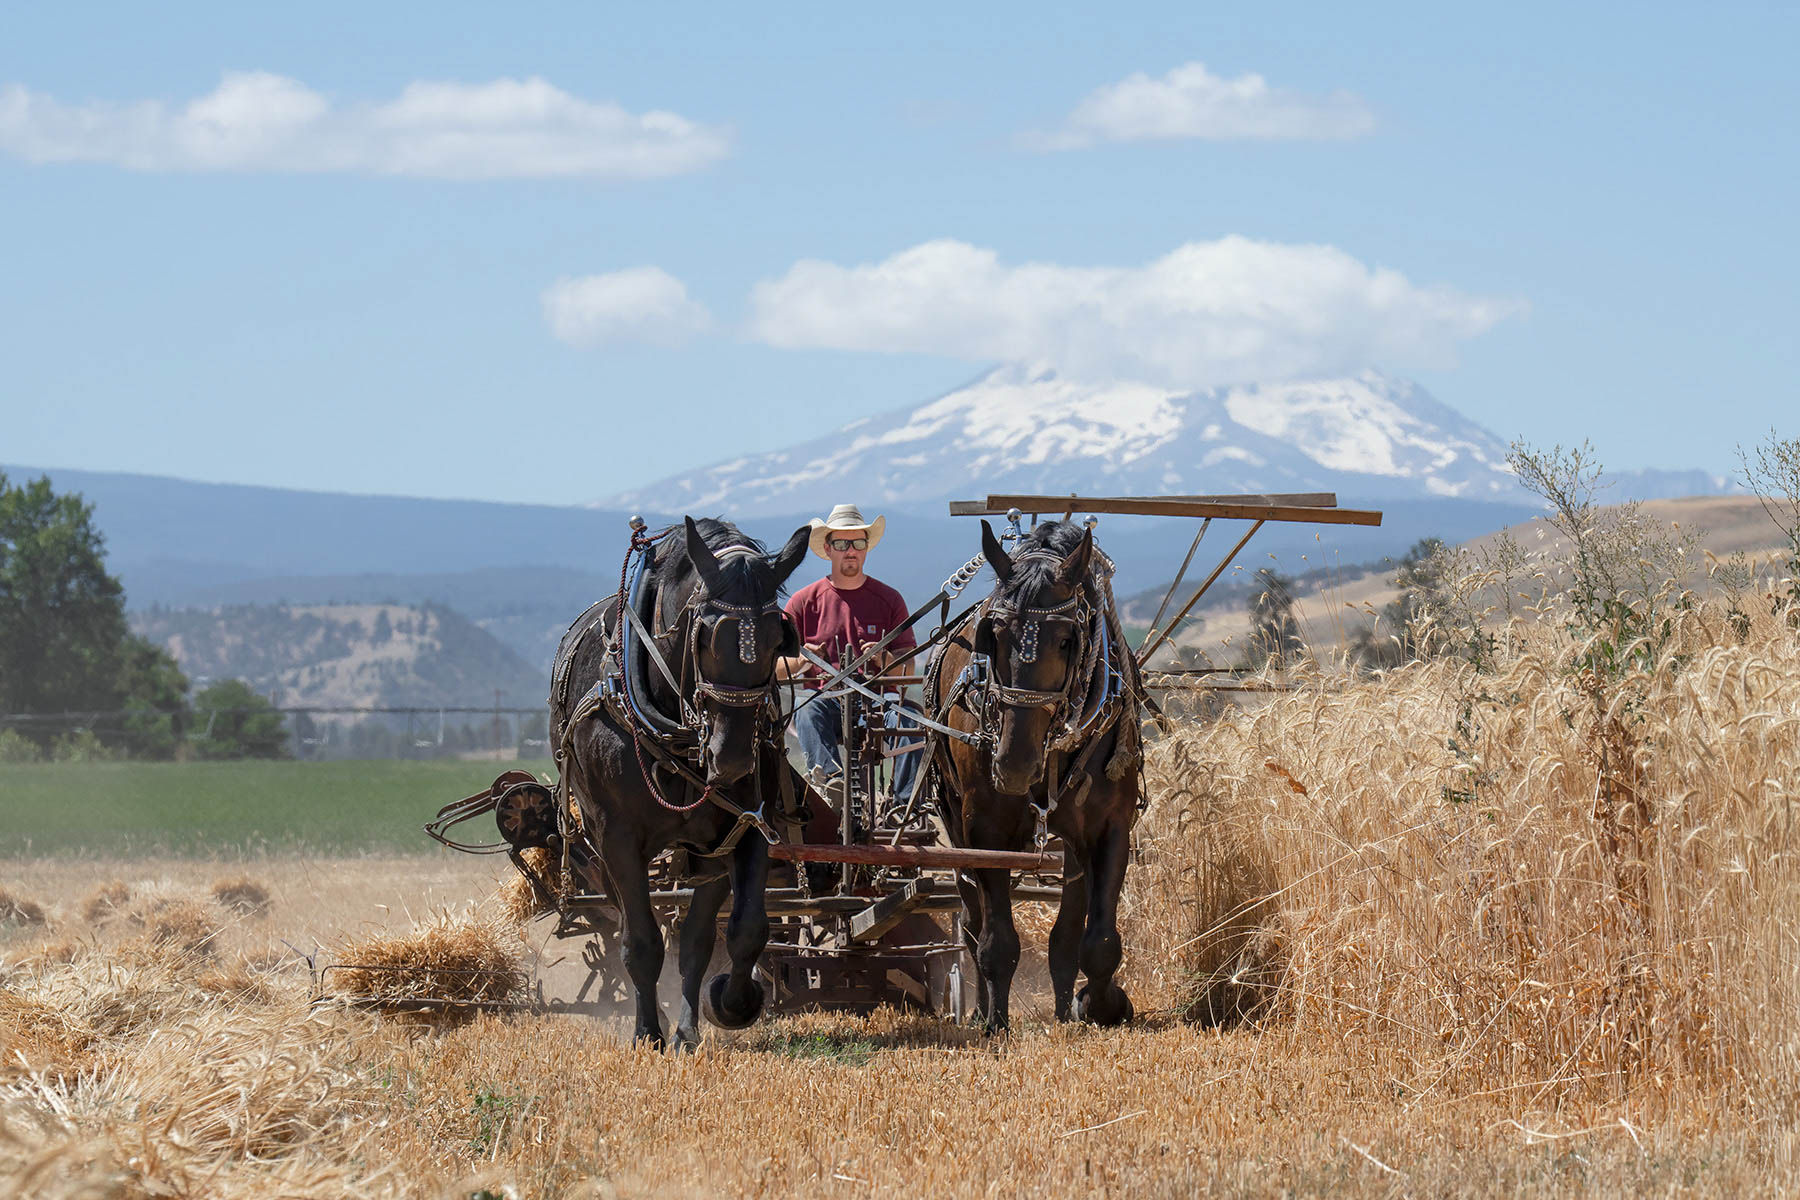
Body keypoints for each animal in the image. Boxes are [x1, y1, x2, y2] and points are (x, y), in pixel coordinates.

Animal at [547, 518, 802, 1050]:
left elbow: (742, 930)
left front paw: (729, 1003)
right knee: (626, 924)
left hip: (705, 855)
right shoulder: (617, 838)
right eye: (704, 638)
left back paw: (688, 1024)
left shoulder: (746, 827)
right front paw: (647, 1031)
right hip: (600, 845)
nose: (731, 760)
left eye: (777, 640)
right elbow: (641, 941)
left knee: (696, 937)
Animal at [928, 521, 1137, 1036]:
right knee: (971, 922)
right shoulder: (983, 830)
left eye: (1067, 640)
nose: (1014, 765)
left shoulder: (1109, 829)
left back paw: (1063, 1009)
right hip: (953, 822)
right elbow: (995, 941)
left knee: (1066, 933)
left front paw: (1099, 1005)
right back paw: (981, 1009)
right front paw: (995, 1023)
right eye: (994, 634)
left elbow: (1096, 940)